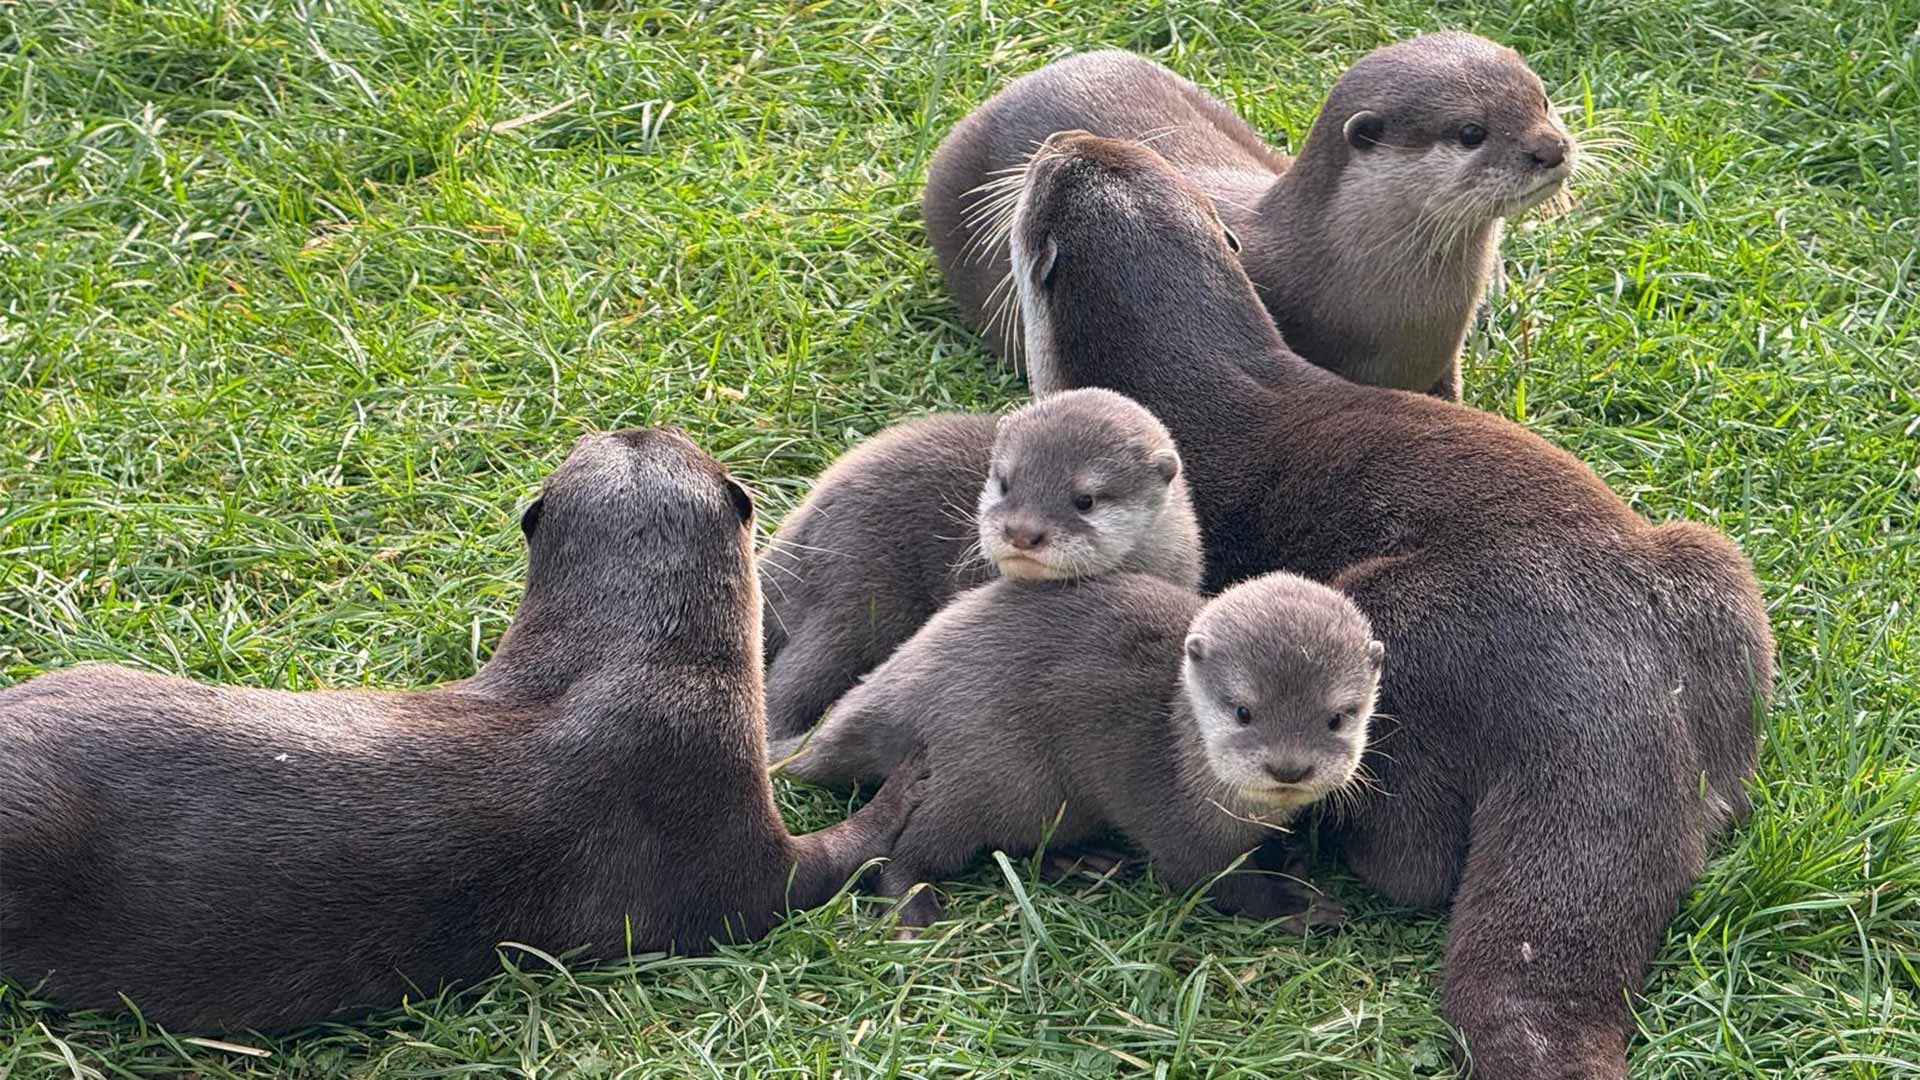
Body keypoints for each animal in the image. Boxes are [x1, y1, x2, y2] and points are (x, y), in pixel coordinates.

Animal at [764, 568, 1382, 930]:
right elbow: (1214, 882)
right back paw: (916, 913)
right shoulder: (1177, 825)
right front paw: (1296, 906)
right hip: (988, 770)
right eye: (1243, 711)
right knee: (907, 852)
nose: (1289, 767)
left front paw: (1294, 858)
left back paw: (1084, 859)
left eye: (1338, 716)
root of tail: (894, 683)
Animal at [1013, 132, 1774, 1076]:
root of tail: (1601, 699)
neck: (1207, 384)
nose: (1064, 140)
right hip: (1711, 570)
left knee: (1408, 867)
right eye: (1132, 160)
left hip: (1392, 624)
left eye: (1044, 182)